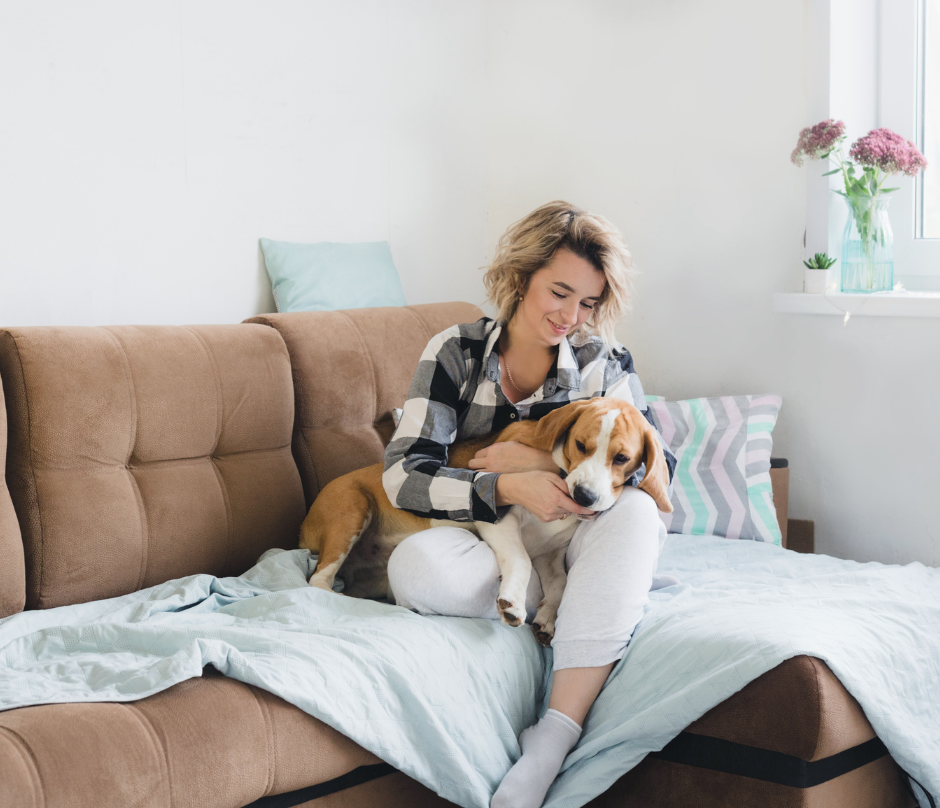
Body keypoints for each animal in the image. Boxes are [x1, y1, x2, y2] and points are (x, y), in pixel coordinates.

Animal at [298, 394, 672, 648]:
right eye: (580, 445)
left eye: (621, 458)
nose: (584, 497)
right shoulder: (497, 518)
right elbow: (520, 560)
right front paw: (513, 603)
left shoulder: (550, 556)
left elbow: (561, 584)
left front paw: (548, 618)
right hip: (352, 509)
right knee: (318, 581)